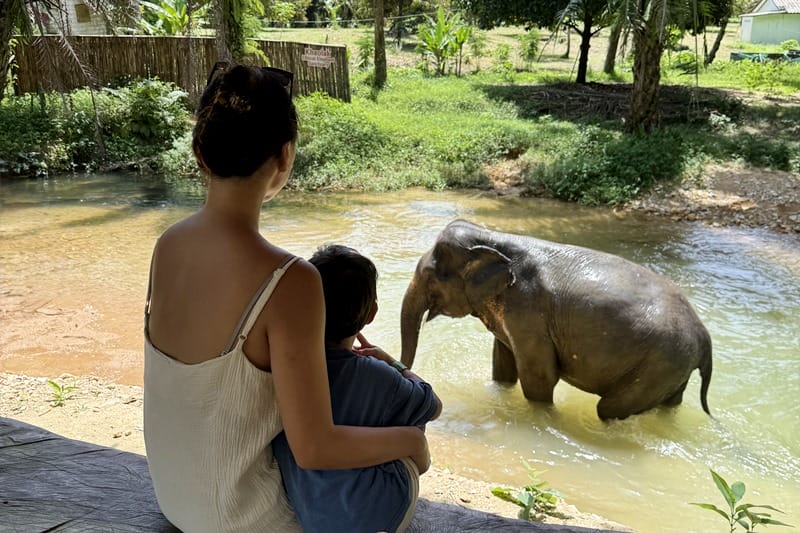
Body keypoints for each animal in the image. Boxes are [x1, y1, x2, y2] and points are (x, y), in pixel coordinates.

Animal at [400, 219, 713, 420]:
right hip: (674, 367)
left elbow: (539, 376)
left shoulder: (529, 311)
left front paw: (543, 417)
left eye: (430, 276)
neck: (493, 237)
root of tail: (704, 337)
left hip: (659, 364)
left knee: (610, 408)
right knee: (670, 403)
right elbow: (503, 365)